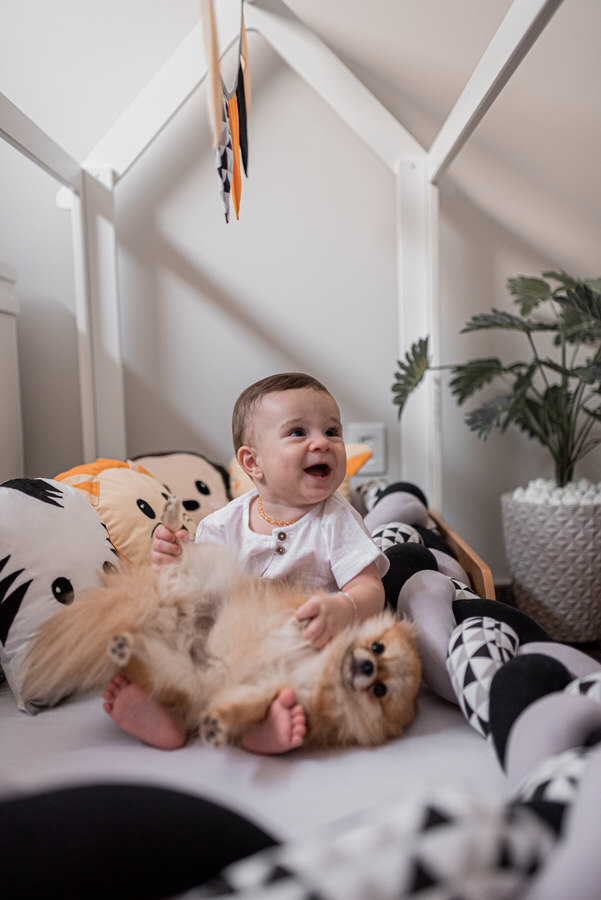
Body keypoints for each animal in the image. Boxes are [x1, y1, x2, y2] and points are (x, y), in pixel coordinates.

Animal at [22, 541, 421, 749]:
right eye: (377, 648)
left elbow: (245, 707)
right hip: (206, 574)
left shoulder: (268, 687)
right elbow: (303, 616)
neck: (321, 666)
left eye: (381, 690)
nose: (367, 667)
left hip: (183, 676)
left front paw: (220, 725)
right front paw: (310, 620)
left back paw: (129, 663)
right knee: (180, 579)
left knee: (153, 670)